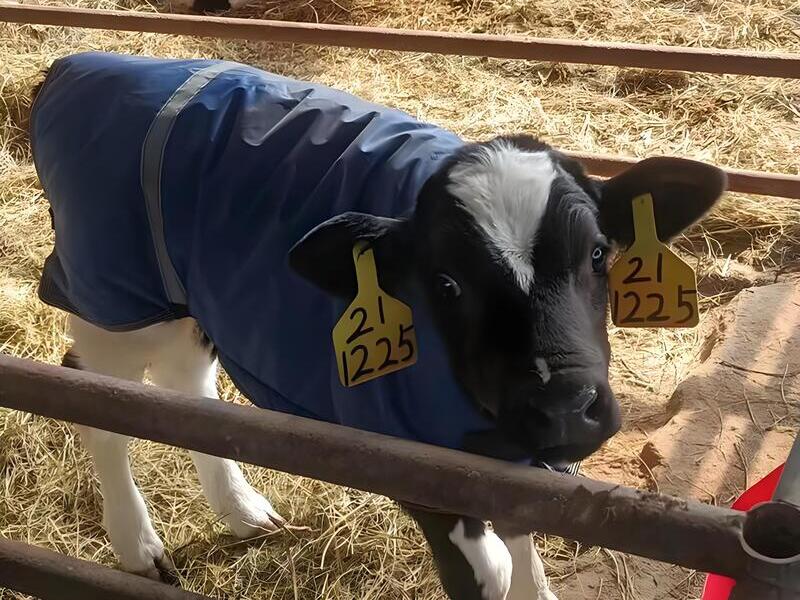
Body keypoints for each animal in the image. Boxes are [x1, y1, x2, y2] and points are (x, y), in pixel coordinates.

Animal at [29, 52, 726, 599]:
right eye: (446, 284)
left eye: (598, 254)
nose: (563, 408)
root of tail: (78, 67)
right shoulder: (430, 479)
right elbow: (497, 571)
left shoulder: (512, 463)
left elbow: (527, 558)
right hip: (112, 295)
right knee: (97, 399)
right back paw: (139, 547)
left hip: (187, 296)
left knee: (185, 387)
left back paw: (244, 511)